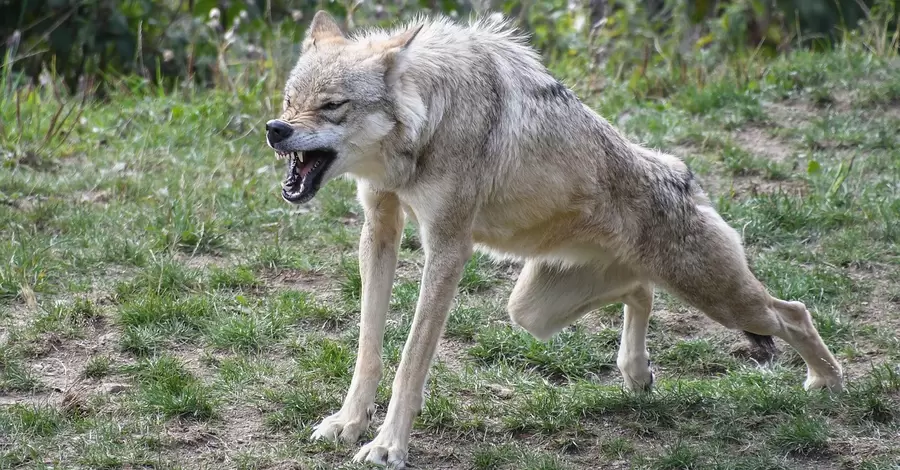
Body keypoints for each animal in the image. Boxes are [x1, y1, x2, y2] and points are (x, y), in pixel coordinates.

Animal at [262, 9, 844, 468]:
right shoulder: (379, 228)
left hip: (721, 299)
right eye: (289, 100)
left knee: (793, 312)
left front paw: (387, 447)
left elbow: (410, 360)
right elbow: (369, 346)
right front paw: (348, 423)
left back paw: (829, 384)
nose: (275, 129)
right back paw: (637, 373)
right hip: (532, 311)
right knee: (641, 290)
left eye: (332, 105)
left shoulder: (447, 248)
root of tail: (683, 174)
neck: (428, 122)